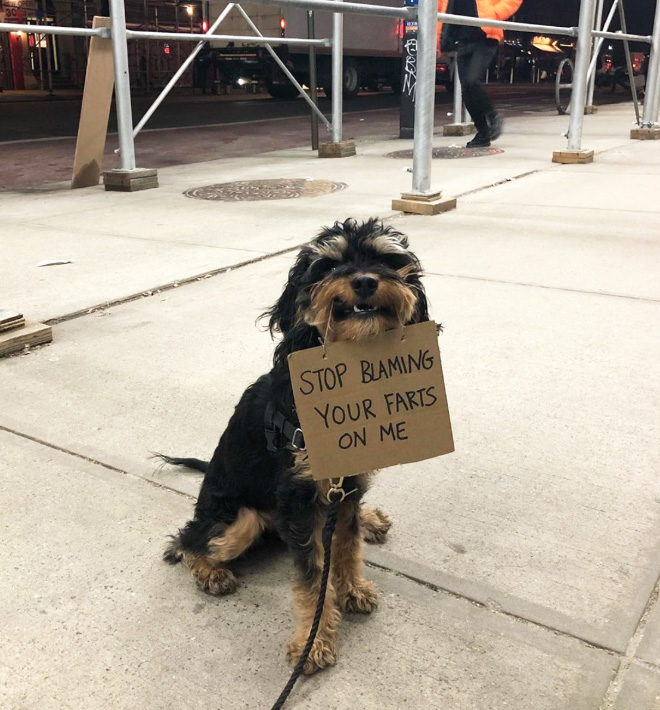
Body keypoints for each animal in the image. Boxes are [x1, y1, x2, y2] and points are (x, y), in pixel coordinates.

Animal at [163, 220, 430, 676]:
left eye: (385, 259)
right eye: (329, 265)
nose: (364, 280)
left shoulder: (347, 484)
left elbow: (346, 547)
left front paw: (352, 589)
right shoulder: (299, 500)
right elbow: (312, 576)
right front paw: (313, 641)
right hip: (240, 520)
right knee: (186, 540)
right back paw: (210, 572)